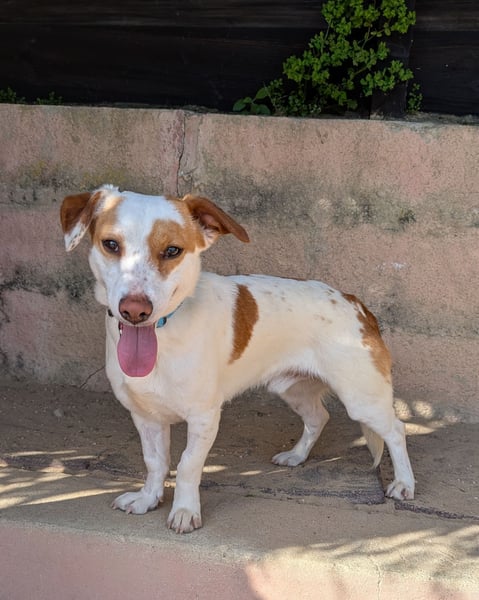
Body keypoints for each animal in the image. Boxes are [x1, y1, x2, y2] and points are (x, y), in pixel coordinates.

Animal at [60, 184, 415, 533]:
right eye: (111, 244)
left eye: (173, 250)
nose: (134, 310)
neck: (164, 336)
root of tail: (355, 302)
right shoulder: (146, 416)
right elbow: (155, 462)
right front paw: (148, 499)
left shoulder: (204, 417)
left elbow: (187, 465)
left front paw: (185, 511)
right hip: (293, 390)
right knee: (319, 418)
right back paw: (296, 456)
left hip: (362, 399)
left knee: (396, 430)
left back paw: (403, 484)